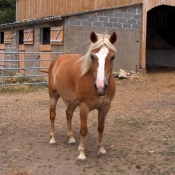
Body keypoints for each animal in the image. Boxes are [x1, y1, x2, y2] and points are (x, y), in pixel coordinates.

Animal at [47, 31, 117, 163]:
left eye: (112, 57)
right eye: (92, 56)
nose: (100, 87)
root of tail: (57, 59)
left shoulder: (105, 107)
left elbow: (101, 128)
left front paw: (101, 149)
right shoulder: (84, 108)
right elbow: (83, 130)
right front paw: (81, 154)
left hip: (73, 101)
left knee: (68, 113)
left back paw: (70, 138)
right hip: (53, 95)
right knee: (52, 115)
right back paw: (52, 139)